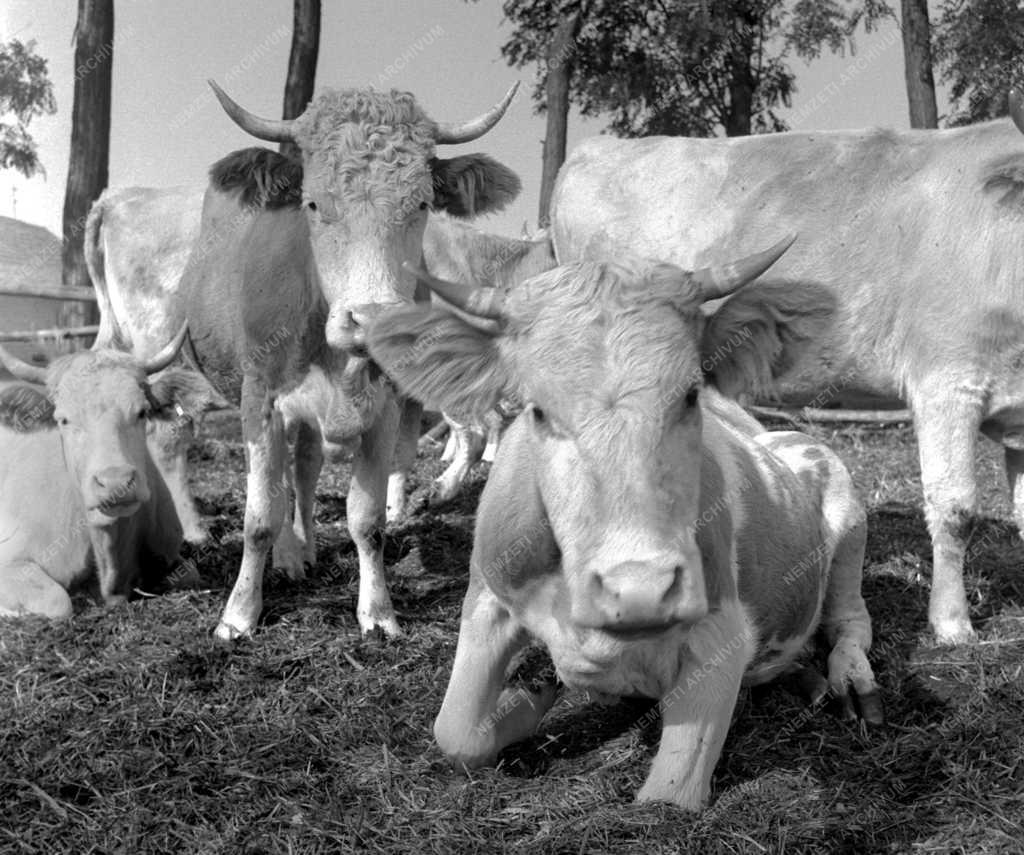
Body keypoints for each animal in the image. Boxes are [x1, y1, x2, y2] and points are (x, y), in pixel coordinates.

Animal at [175, 81, 520, 643]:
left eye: (422, 203)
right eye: (313, 204)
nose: (372, 318)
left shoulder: (385, 406)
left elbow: (367, 520)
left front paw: (378, 613)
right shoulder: (259, 398)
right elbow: (259, 517)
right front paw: (239, 614)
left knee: (305, 471)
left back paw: (307, 547)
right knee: (283, 481)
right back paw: (290, 558)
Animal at [366, 238, 880, 810]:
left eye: (691, 394)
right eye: (537, 410)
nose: (640, 592)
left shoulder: (722, 633)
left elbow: (668, 798)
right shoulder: (487, 595)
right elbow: (454, 732)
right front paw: (529, 696)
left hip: (847, 511)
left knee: (851, 620)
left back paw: (851, 682)